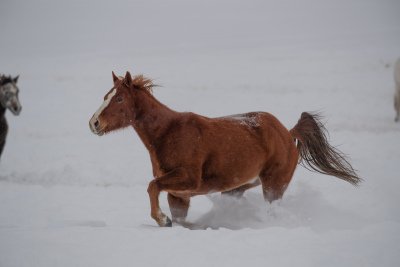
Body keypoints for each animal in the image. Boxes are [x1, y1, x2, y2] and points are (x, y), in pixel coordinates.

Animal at [89, 71, 360, 228]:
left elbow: (152, 186)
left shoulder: (188, 179)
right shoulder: (178, 195)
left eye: (119, 99)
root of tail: (288, 132)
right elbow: (170, 206)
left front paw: (161, 219)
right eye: (105, 95)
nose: (94, 123)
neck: (169, 133)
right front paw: (168, 221)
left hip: (273, 186)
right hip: (236, 188)